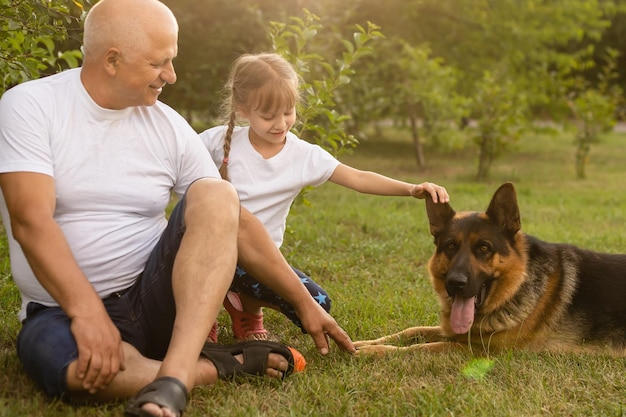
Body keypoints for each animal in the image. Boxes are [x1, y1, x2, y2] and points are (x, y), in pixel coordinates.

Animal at [354, 182, 624, 354]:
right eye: (450, 246)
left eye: (484, 248)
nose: (455, 283)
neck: (515, 288)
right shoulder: (455, 332)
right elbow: (412, 330)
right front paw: (365, 344)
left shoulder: (478, 350)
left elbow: (422, 348)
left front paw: (376, 353)